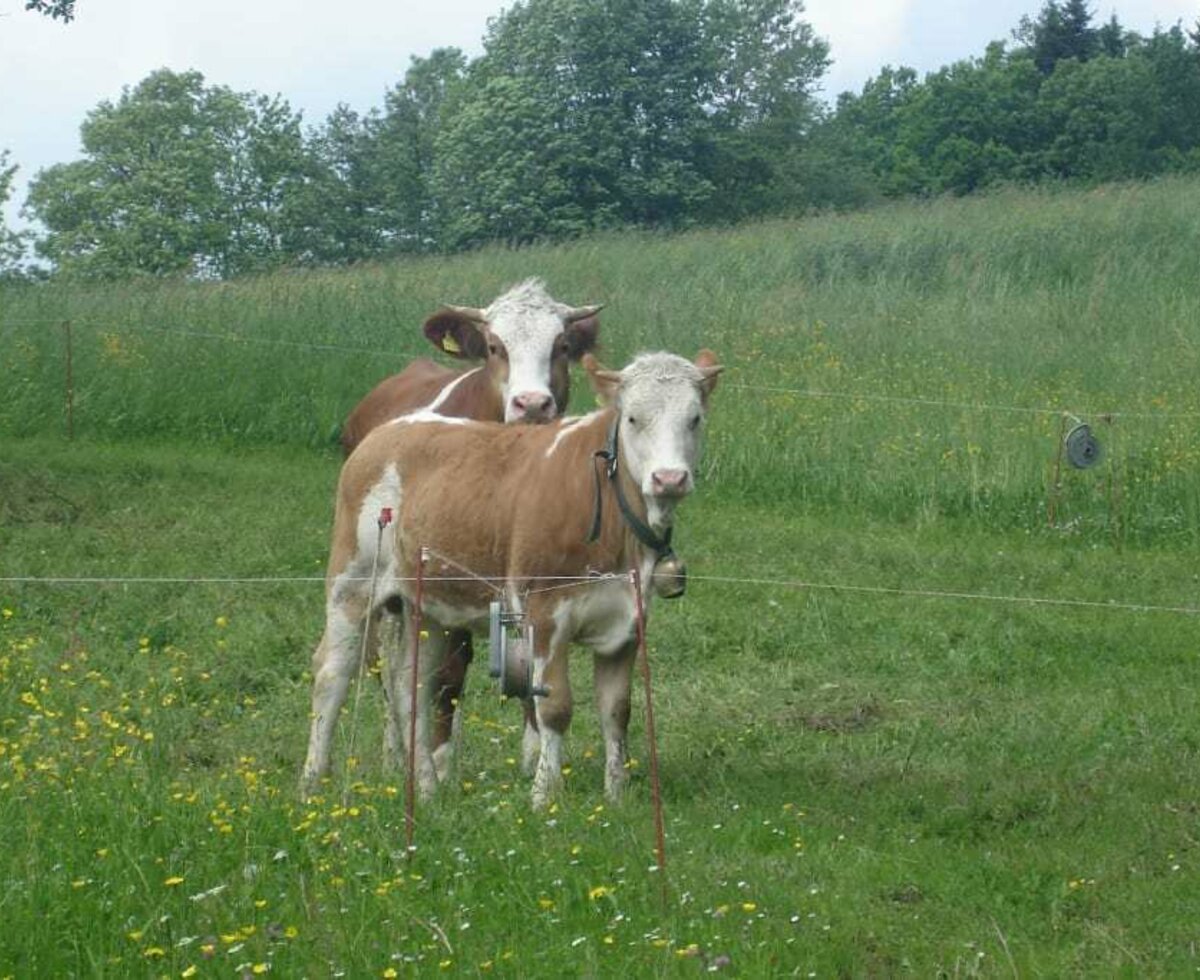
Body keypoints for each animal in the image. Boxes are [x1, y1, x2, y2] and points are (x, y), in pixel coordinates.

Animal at [304, 347, 724, 806]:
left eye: (695, 418)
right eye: (633, 418)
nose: (670, 478)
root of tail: (391, 428)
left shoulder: (627, 621)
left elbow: (617, 710)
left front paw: (617, 796)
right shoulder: (545, 613)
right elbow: (554, 708)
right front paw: (544, 795)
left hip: (426, 606)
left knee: (410, 686)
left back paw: (428, 787)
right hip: (352, 582)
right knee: (332, 672)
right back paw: (312, 782)